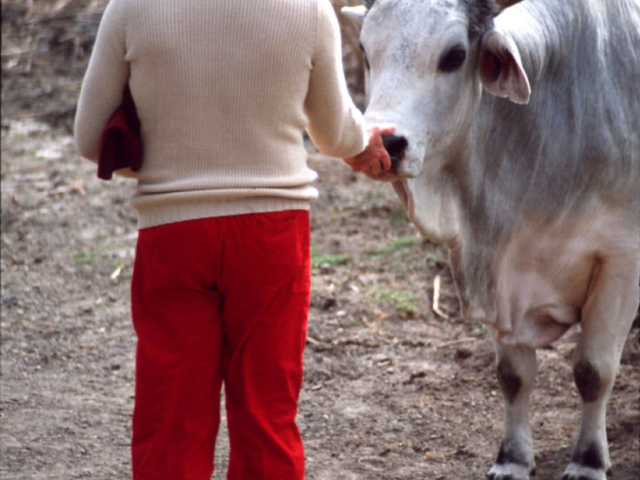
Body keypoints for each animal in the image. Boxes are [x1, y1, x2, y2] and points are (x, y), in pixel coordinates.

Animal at [342, 0, 640, 480]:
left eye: (455, 56)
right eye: (365, 51)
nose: (384, 143)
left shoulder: (621, 262)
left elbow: (593, 370)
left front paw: (588, 460)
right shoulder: (503, 270)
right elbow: (513, 376)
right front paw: (512, 459)